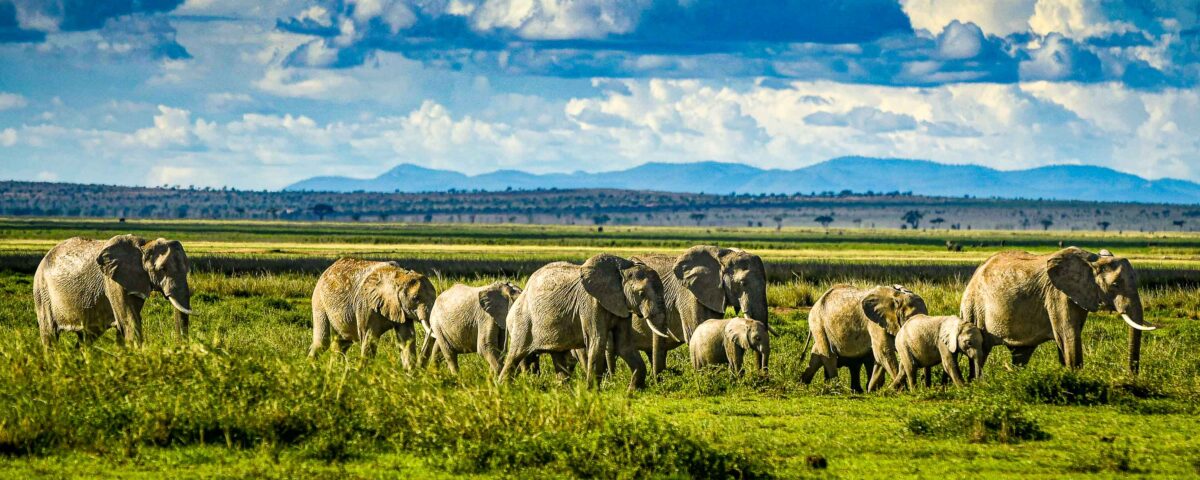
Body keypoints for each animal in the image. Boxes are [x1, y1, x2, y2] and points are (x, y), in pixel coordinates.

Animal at [33, 235, 192, 348]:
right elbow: (129, 321)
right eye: (162, 269)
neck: (144, 245)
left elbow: (124, 325)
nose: (179, 348)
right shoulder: (113, 281)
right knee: (49, 334)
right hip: (42, 292)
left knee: (86, 338)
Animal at [308, 258, 436, 369]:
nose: (421, 369)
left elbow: (407, 339)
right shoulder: (366, 305)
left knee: (342, 342)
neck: (399, 276)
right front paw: (362, 374)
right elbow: (369, 338)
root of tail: (328, 269)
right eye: (415, 298)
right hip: (319, 300)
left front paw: (410, 375)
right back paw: (310, 369)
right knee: (322, 342)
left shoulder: (400, 308)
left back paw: (335, 370)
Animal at [498, 254, 670, 390]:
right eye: (641, 293)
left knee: (558, 358)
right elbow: (597, 341)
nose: (657, 382)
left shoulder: (622, 306)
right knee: (515, 355)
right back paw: (502, 389)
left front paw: (632, 392)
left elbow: (624, 345)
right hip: (522, 321)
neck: (622, 268)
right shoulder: (590, 302)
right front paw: (592, 393)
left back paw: (562, 391)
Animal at [960, 247, 1156, 375]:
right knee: (980, 351)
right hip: (974, 307)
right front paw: (1076, 378)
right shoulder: (1057, 294)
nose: (1130, 377)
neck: (1092, 261)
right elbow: (1068, 335)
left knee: (1020, 354)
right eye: (1115, 285)